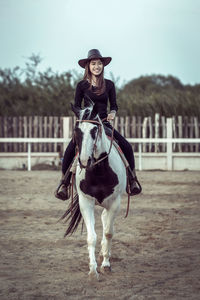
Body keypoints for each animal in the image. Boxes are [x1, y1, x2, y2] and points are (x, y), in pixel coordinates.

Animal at [60, 102, 126, 278]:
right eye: (77, 131)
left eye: (95, 130)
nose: (84, 161)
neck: (99, 171)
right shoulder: (86, 202)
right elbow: (91, 237)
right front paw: (92, 269)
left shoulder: (114, 203)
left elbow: (109, 233)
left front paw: (106, 265)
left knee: (106, 224)